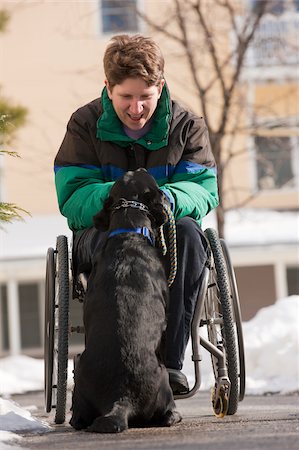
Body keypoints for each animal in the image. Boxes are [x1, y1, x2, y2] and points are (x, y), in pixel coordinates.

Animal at [70, 168, 182, 432]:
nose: (140, 168)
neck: (129, 233)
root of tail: (121, 397)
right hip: (162, 376)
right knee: (167, 414)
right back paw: (174, 415)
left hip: (81, 373)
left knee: (78, 418)